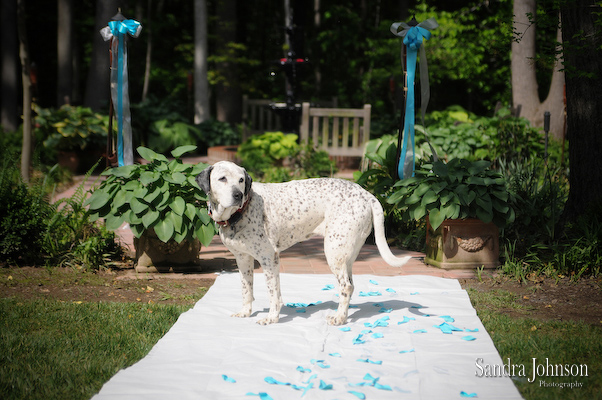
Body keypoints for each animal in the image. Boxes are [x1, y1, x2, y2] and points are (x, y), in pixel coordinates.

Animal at [195, 161, 410, 326]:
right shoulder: (243, 260)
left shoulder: (268, 259)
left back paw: (339, 319)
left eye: (241, 180)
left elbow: (273, 294)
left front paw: (271, 318)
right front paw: (245, 312)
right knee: (350, 285)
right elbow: (247, 290)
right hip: (345, 255)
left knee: (346, 287)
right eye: (222, 179)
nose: (238, 195)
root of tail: (368, 195)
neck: (240, 213)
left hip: (333, 253)